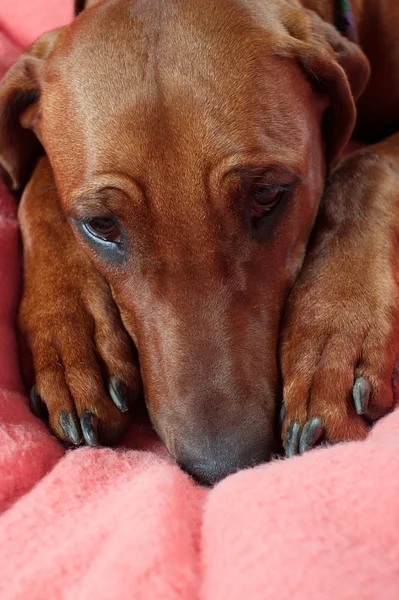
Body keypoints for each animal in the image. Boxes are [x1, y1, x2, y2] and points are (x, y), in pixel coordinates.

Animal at [0, 0, 399, 486]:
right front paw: (69, 332)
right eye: (100, 224)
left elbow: (365, 160)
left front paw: (331, 337)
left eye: (267, 195)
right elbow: (36, 186)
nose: (223, 465)